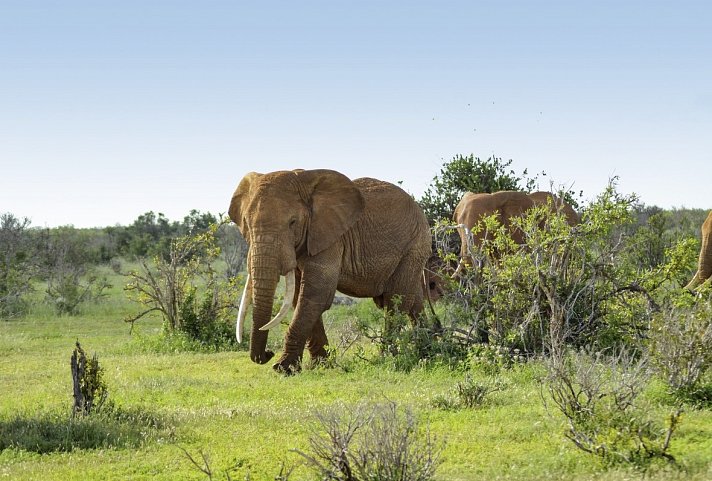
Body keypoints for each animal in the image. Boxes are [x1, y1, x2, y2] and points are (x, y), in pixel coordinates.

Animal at [228, 169, 432, 376]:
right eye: (246, 224)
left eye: (292, 222)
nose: (268, 353)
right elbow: (299, 296)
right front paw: (319, 366)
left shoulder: (331, 239)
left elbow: (315, 294)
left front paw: (283, 368)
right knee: (413, 300)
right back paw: (428, 350)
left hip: (415, 246)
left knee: (395, 301)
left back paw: (390, 358)